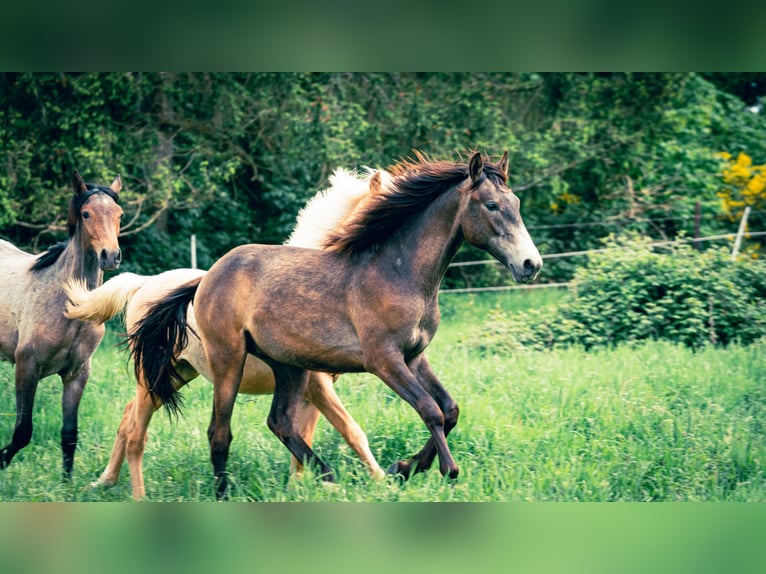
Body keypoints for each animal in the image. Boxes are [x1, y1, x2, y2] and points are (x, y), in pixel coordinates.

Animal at [0, 171, 123, 476]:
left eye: (119, 214)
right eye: (86, 213)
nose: (110, 256)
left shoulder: (76, 374)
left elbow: (69, 434)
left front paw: (67, 481)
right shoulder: (27, 366)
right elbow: (22, 431)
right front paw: (1, 460)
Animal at [64, 166, 390, 500]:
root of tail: (145, 283)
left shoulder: (312, 391)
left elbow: (306, 441)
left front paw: (301, 488)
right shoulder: (318, 387)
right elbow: (352, 432)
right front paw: (384, 483)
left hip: (178, 373)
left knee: (127, 418)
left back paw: (104, 480)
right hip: (154, 376)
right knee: (134, 430)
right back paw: (135, 492)